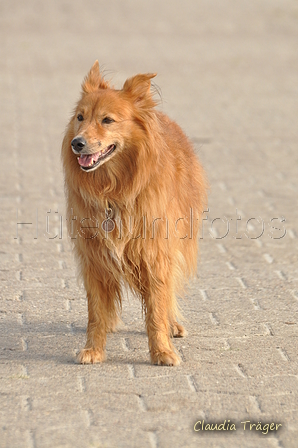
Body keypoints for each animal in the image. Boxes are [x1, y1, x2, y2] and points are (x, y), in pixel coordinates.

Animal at [61, 61, 207, 366]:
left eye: (107, 120)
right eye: (80, 117)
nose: (77, 143)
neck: (114, 190)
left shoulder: (155, 253)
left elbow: (156, 309)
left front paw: (161, 351)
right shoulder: (94, 257)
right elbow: (96, 312)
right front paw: (94, 349)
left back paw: (172, 324)